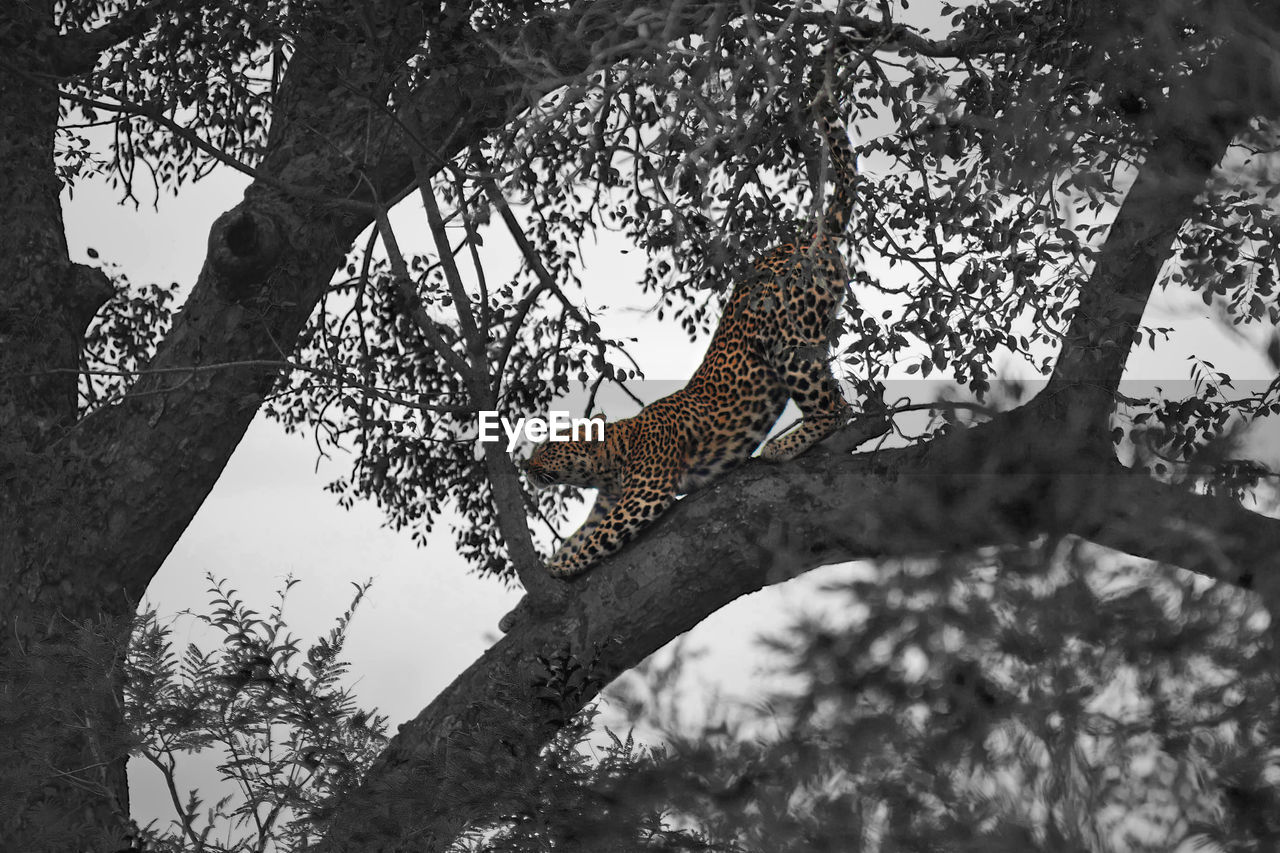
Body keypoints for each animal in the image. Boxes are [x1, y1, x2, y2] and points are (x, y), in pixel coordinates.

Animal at [519, 84, 890, 578]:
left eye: (548, 449)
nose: (526, 466)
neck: (610, 458)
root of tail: (810, 238)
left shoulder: (645, 492)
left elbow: (598, 538)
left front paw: (561, 567)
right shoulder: (607, 501)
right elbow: (584, 532)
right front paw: (549, 568)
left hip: (787, 341)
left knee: (835, 407)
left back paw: (781, 446)